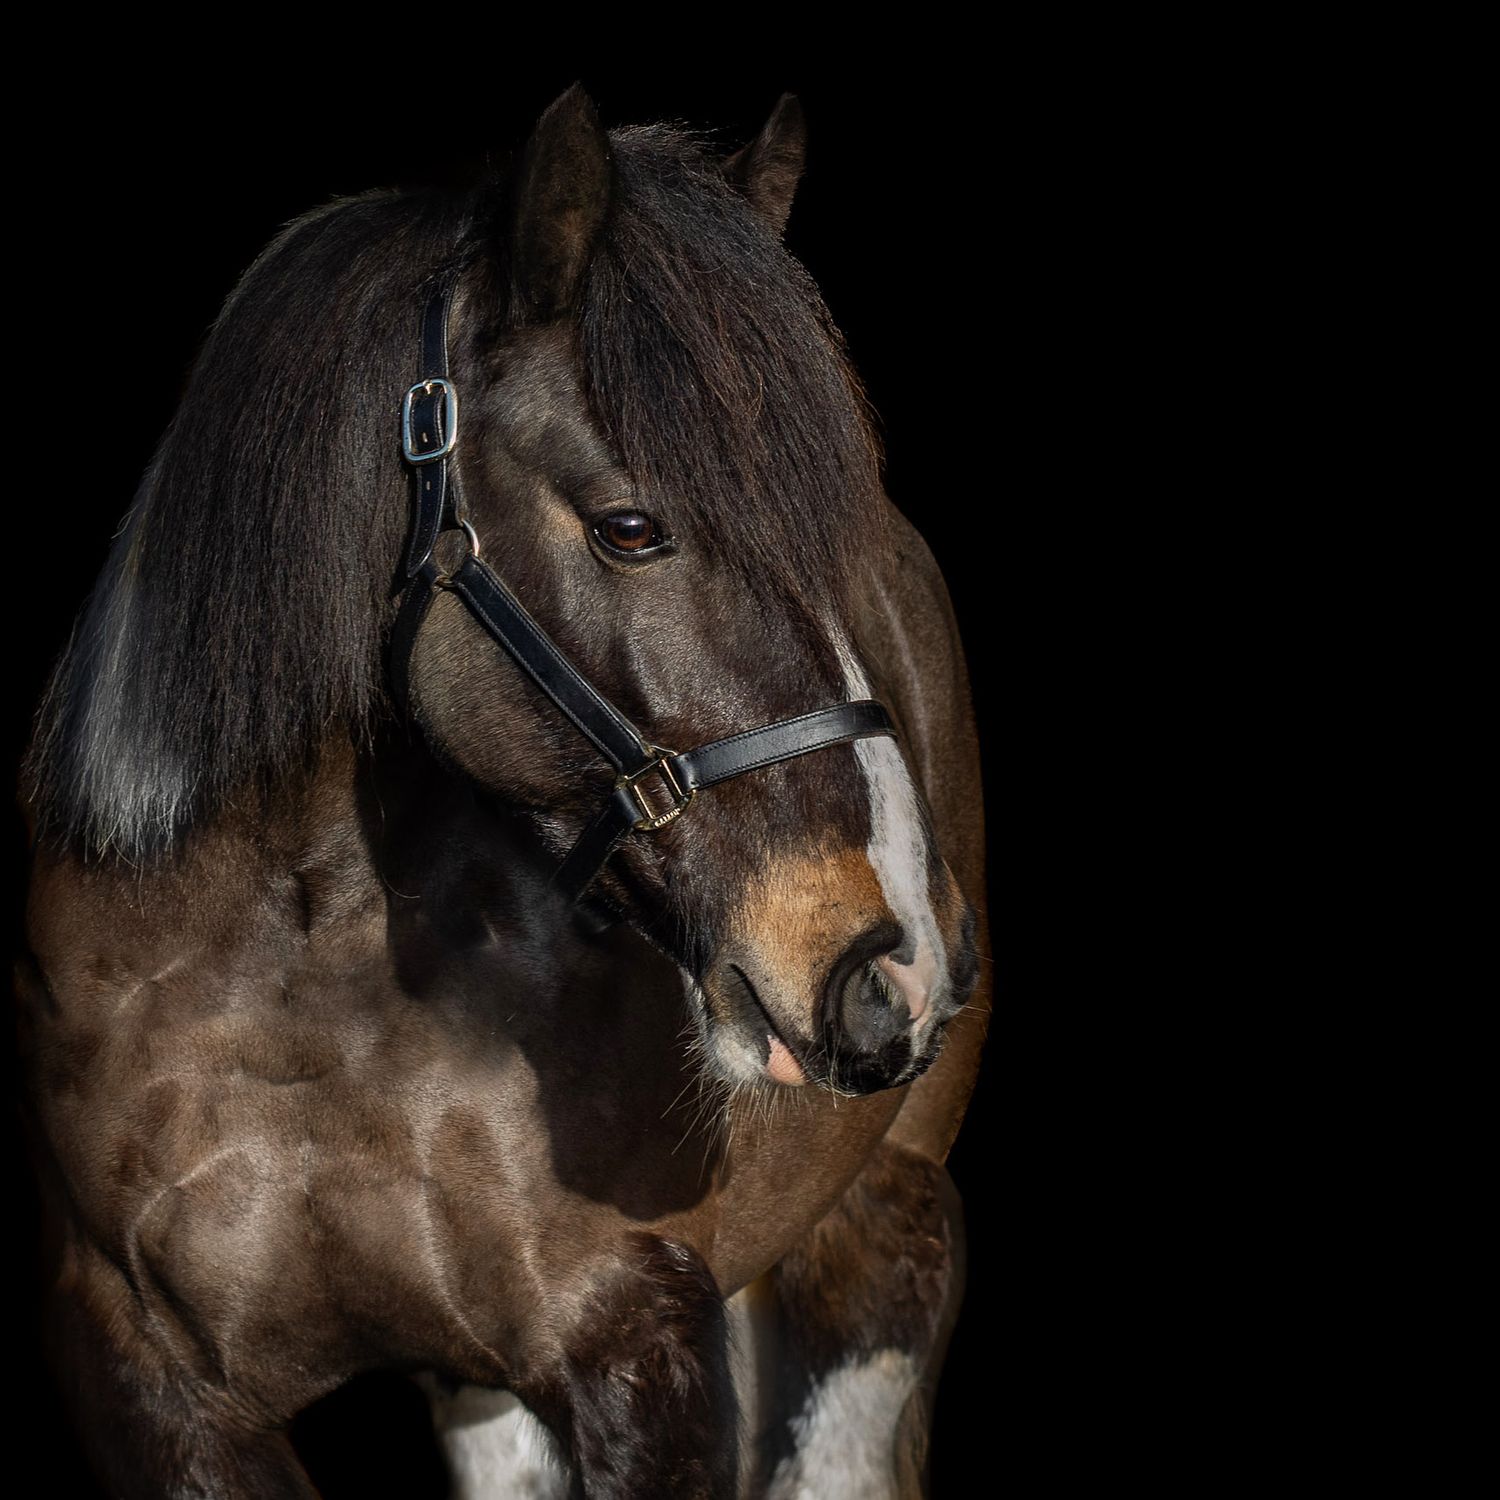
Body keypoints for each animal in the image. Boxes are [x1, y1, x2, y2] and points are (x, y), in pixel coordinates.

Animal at [14, 85, 991, 1498]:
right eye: (630, 527)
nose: (897, 958)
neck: (293, 985)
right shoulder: (151, 1385)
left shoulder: (638, 1344)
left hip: (874, 1231)